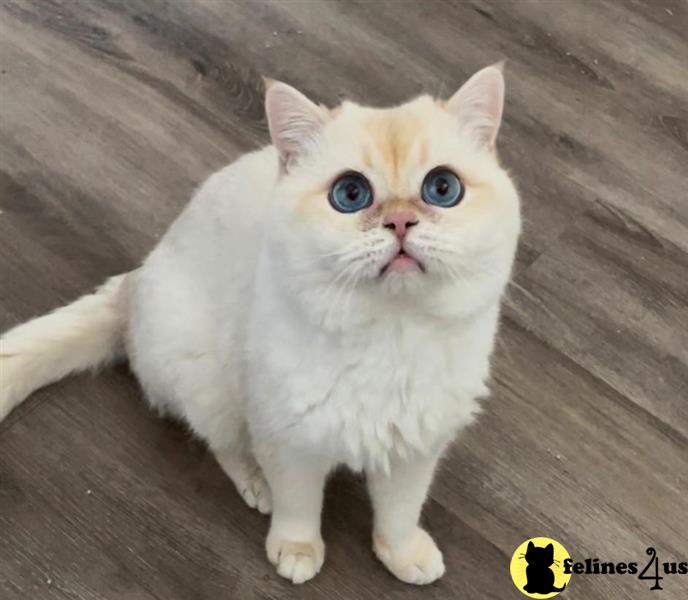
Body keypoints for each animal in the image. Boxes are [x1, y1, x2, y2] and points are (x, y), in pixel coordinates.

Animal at [0, 65, 520, 584]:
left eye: (442, 189)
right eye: (351, 194)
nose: (400, 222)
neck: (390, 334)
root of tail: (138, 277)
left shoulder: (417, 447)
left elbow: (399, 511)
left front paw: (403, 554)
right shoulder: (286, 439)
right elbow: (298, 505)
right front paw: (296, 550)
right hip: (209, 384)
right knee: (224, 446)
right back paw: (256, 486)